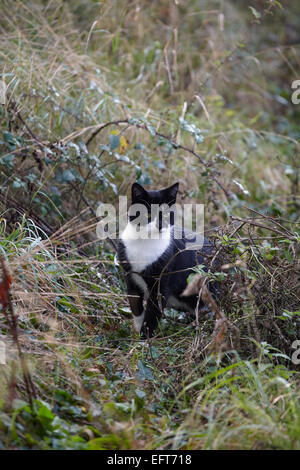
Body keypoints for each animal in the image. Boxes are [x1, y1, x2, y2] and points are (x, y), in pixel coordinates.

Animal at [117, 182, 216, 340]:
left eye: (166, 214)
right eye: (148, 214)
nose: (160, 225)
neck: (145, 242)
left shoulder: (161, 284)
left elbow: (152, 315)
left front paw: (143, 341)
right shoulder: (131, 278)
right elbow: (136, 307)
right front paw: (135, 334)